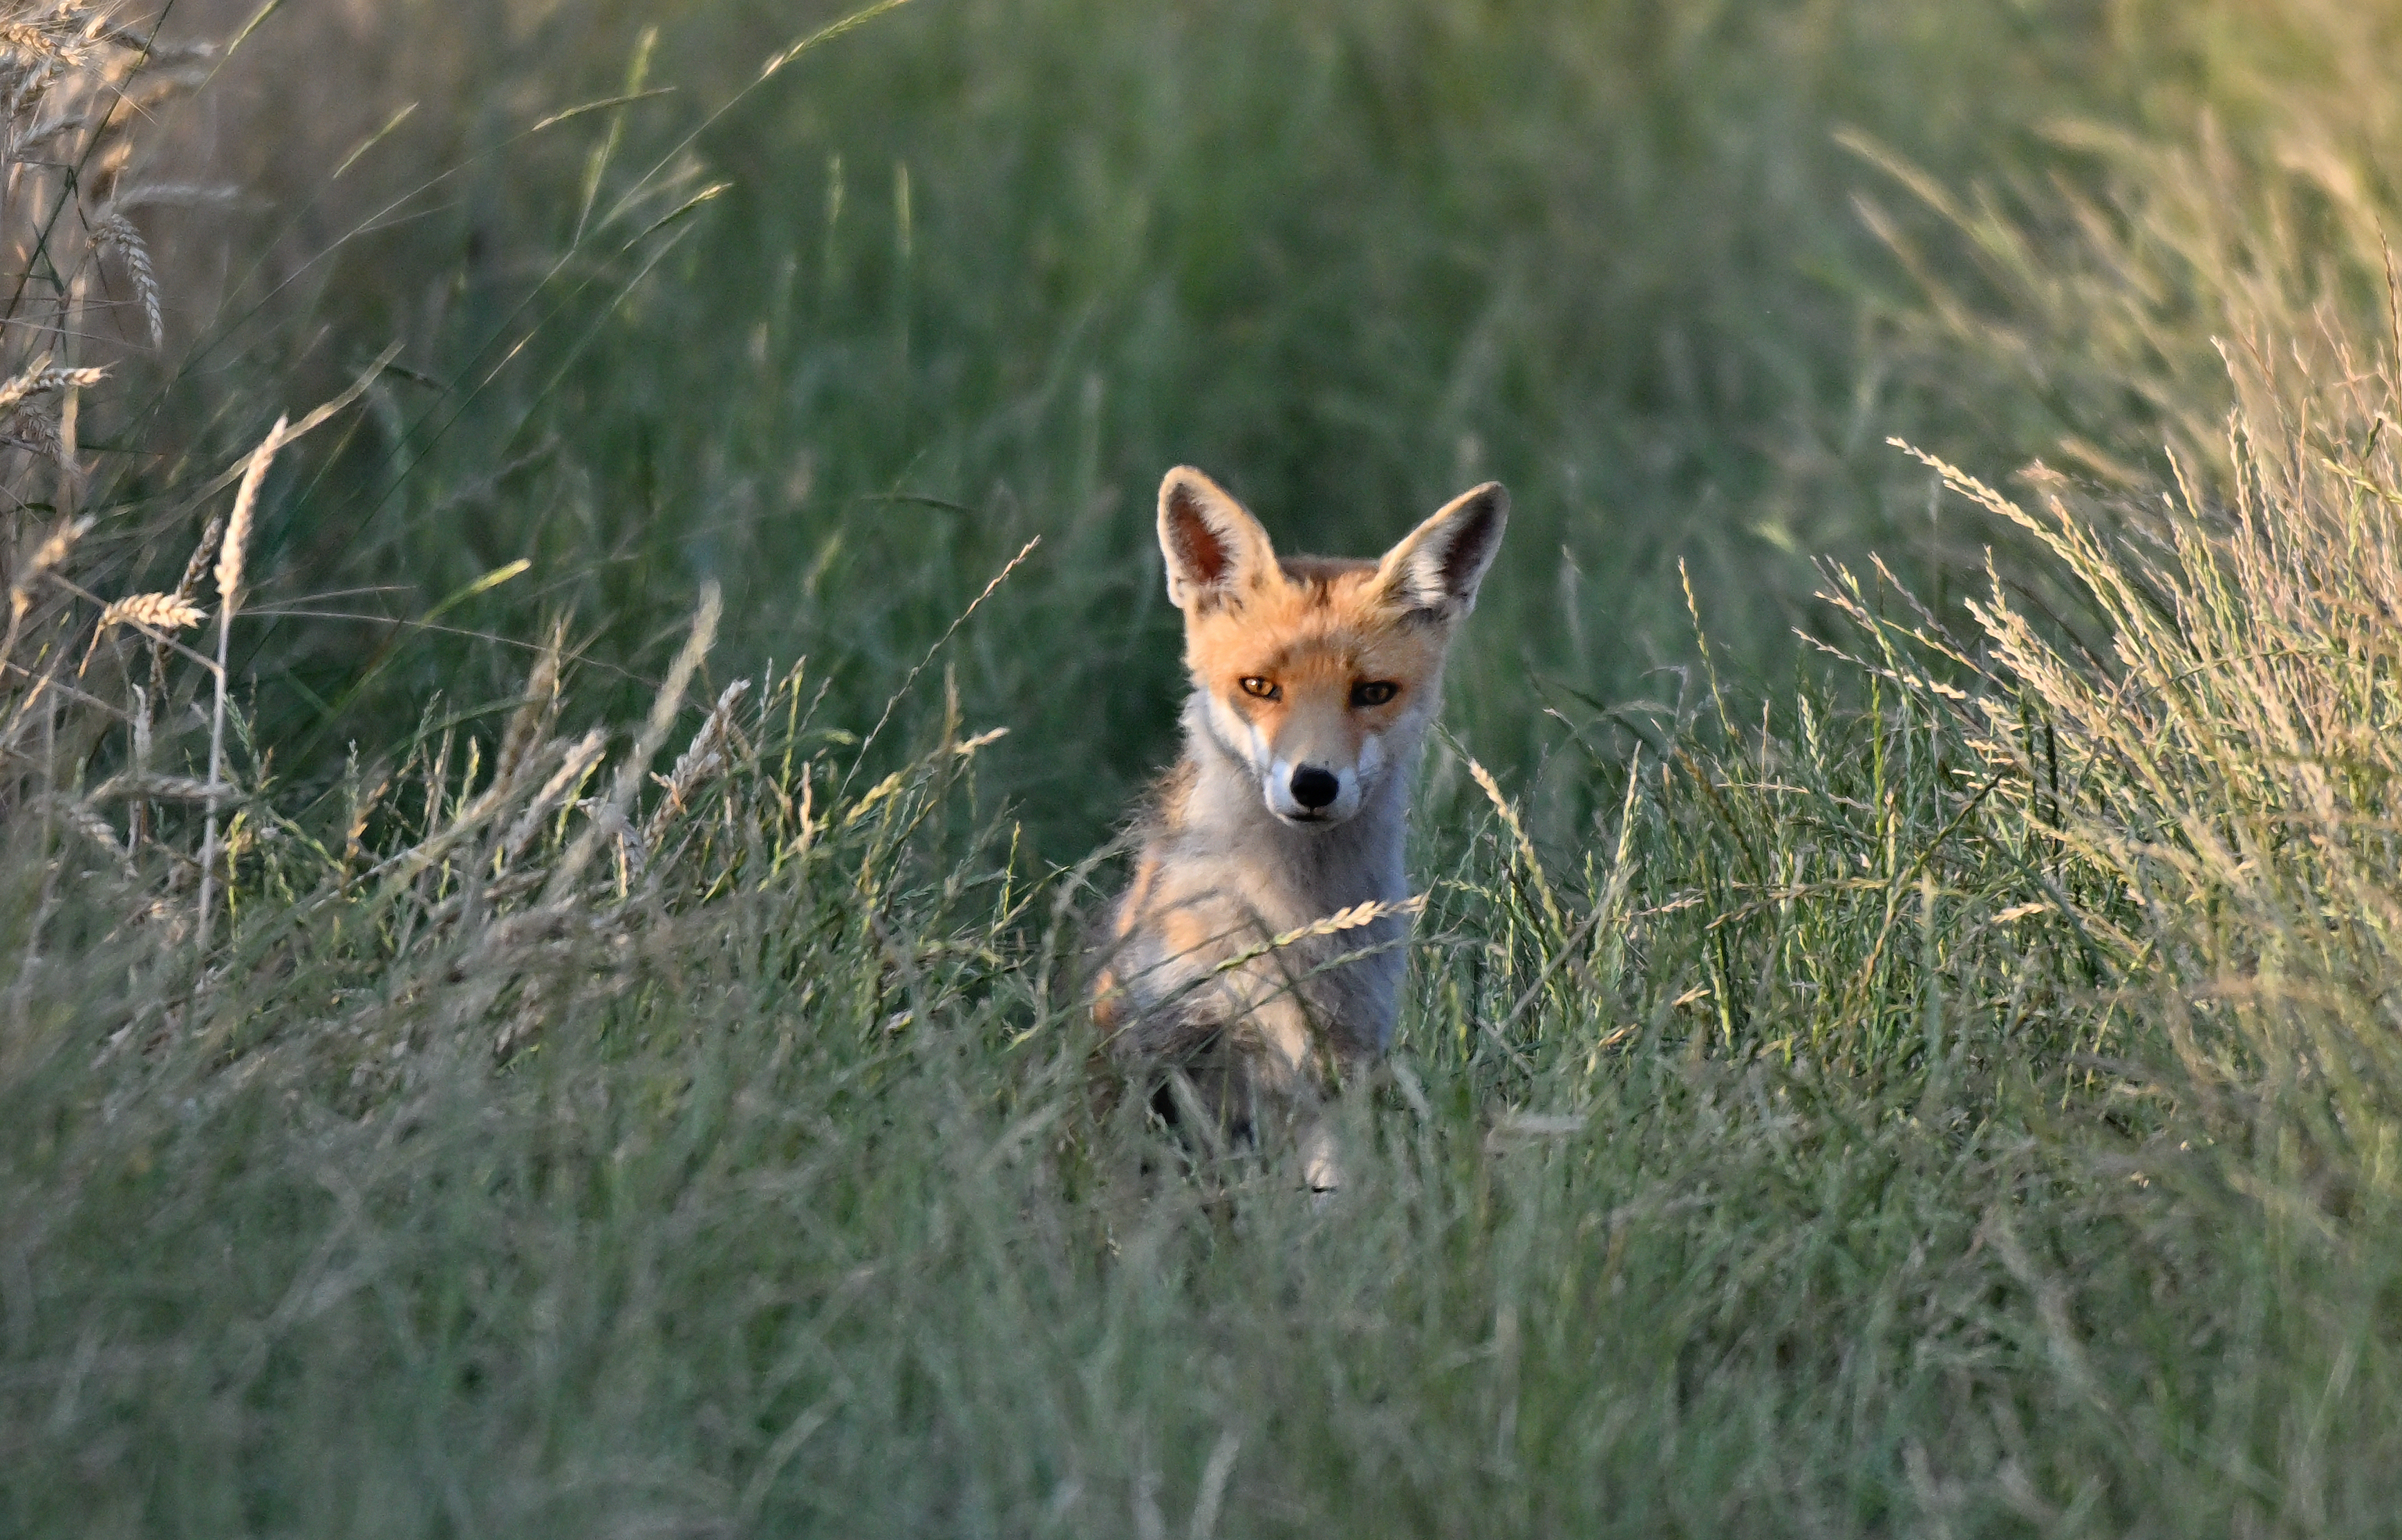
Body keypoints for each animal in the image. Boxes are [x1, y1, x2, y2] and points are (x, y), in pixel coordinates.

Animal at [1090, 465, 1507, 1189]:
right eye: (1259, 687)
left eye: (1373, 693)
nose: (1313, 784)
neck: (1289, 921)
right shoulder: (1164, 1042)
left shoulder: (1343, 1066)